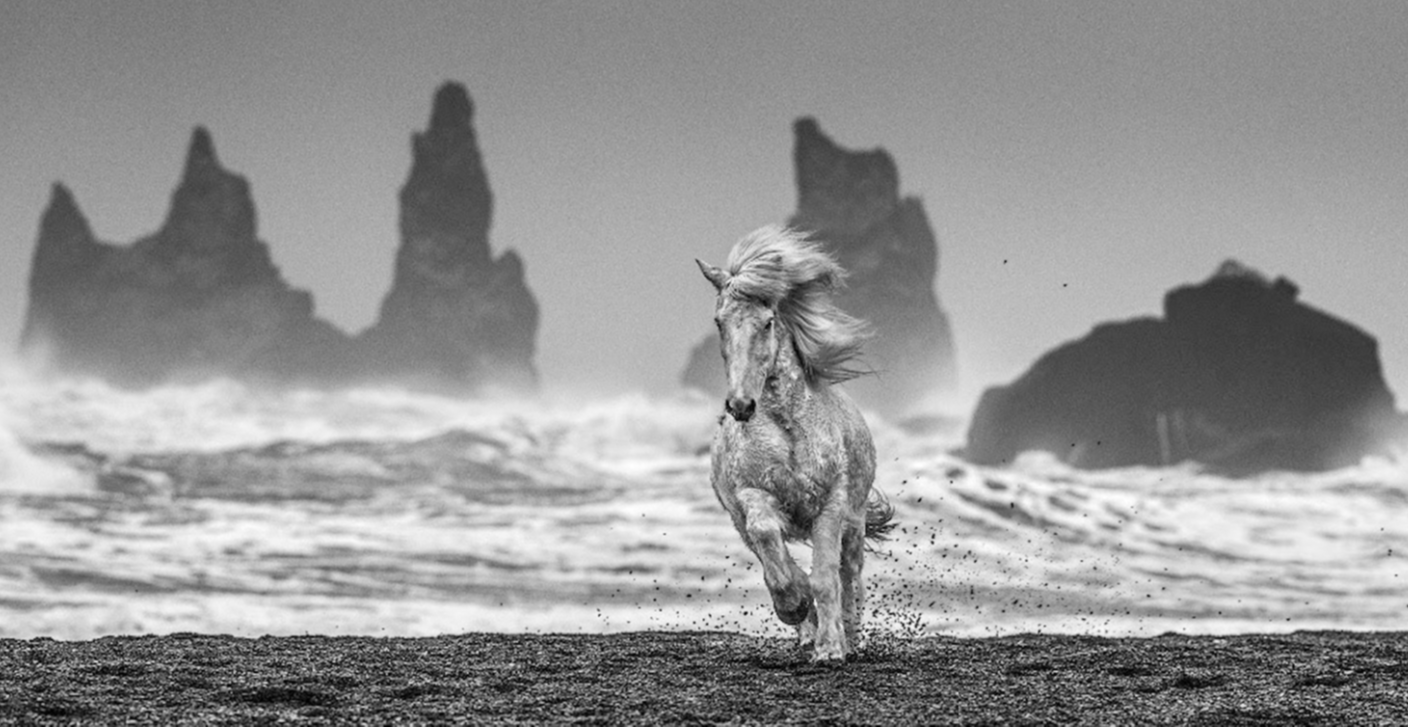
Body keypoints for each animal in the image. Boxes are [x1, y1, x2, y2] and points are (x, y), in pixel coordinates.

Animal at [696, 225, 894, 663]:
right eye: (719, 321)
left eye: (768, 322)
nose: (740, 405)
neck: (787, 428)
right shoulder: (753, 497)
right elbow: (774, 550)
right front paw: (796, 605)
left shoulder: (830, 505)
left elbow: (826, 578)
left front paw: (832, 648)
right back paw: (807, 630)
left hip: (854, 522)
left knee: (850, 575)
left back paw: (850, 635)